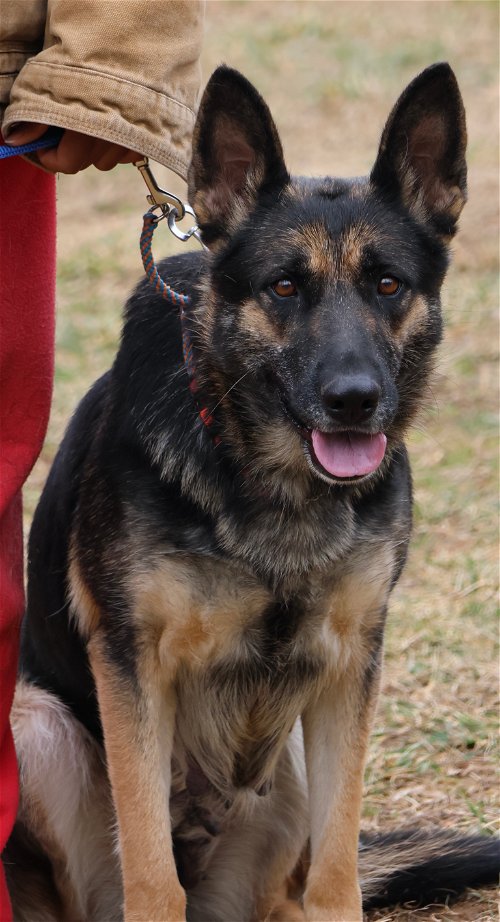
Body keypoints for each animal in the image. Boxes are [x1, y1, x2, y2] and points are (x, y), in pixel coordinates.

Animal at [4, 66, 500, 920]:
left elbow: (336, 868)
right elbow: (151, 873)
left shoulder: (349, 670)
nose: (354, 401)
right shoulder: (132, 666)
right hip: (35, 721)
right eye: (285, 287)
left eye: (388, 284)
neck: (271, 482)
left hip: (287, 772)